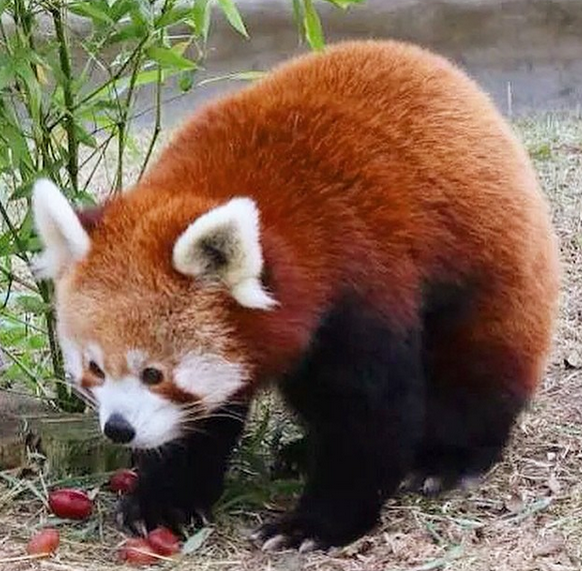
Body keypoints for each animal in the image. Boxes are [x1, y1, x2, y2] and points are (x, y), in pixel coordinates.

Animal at [32, 41, 560, 556]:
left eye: (154, 374)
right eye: (95, 368)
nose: (119, 429)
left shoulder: (360, 285)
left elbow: (369, 415)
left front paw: (316, 524)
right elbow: (203, 420)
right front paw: (165, 499)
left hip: (489, 268)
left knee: (477, 368)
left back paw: (446, 458)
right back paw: (302, 451)